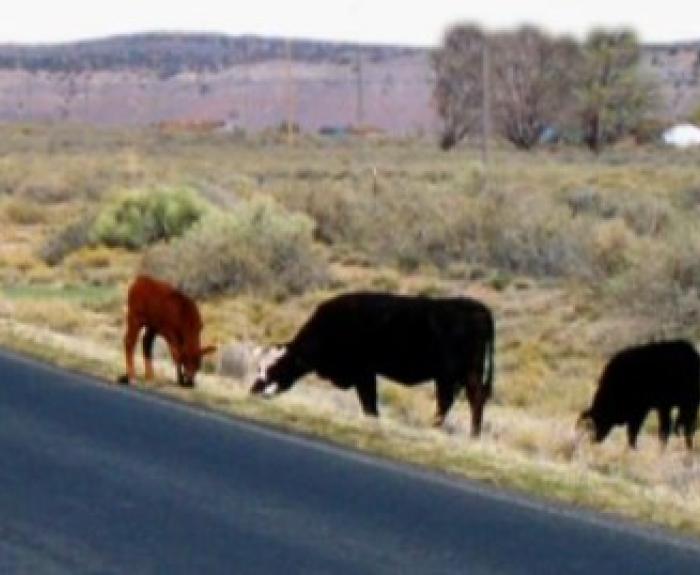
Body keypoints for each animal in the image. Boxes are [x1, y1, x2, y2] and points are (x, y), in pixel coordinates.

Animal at [250, 292, 495, 437]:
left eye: (275, 367)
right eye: (258, 366)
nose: (254, 389)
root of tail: (477, 307)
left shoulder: (363, 372)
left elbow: (369, 403)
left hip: (452, 374)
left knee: (458, 400)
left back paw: (449, 431)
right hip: (464, 373)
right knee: (467, 399)